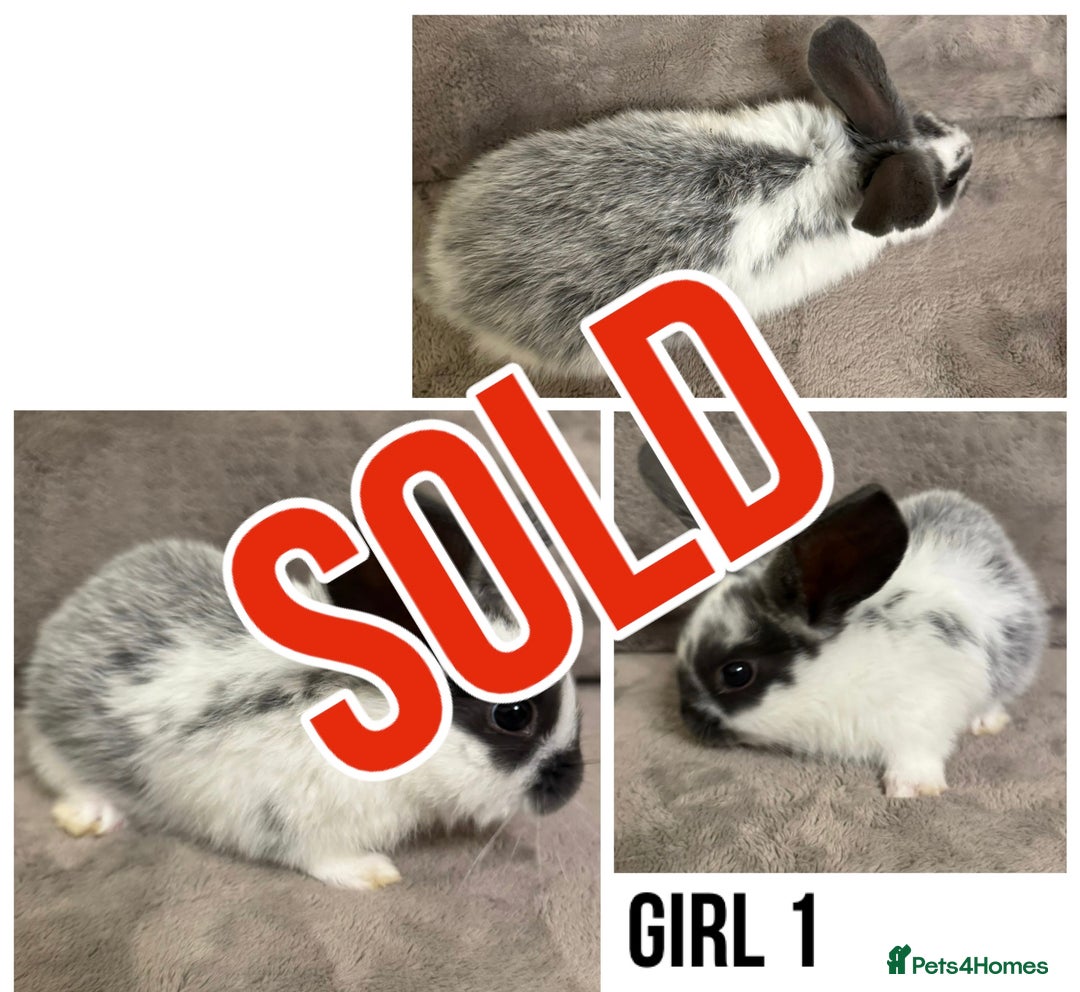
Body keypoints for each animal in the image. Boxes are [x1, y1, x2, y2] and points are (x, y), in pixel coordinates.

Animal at [23, 493, 584, 890]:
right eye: (513, 714)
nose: (573, 785)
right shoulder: (290, 818)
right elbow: (320, 858)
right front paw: (375, 874)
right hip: (59, 749)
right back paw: (90, 817)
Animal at [637, 446, 1046, 797]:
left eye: (736, 673)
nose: (688, 720)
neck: (836, 675)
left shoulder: (924, 714)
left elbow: (918, 753)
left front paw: (911, 790)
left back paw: (986, 723)